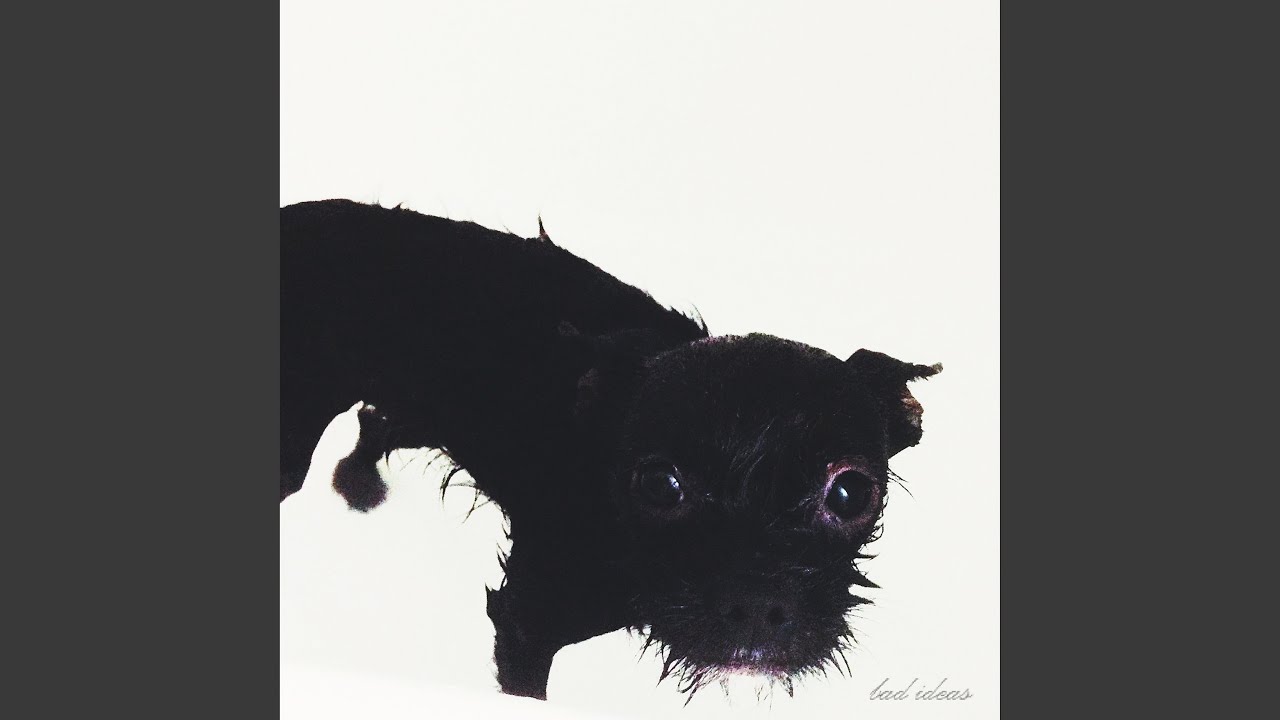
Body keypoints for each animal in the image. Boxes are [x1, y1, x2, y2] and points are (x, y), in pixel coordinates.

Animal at [280, 199, 941, 700]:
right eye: (659, 484)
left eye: (851, 492)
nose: (756, 606)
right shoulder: (526, 622)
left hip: (428, 409)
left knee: (376, 423)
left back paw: (359, 484)